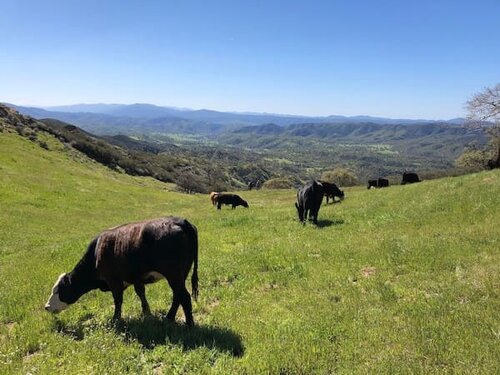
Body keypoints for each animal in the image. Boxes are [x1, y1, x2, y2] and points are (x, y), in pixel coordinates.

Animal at [44, 217, 197, 326]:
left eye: (58, 290)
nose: (46, 307)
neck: (96, 253)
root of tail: (180, 221)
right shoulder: (136, 278)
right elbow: (141, 293)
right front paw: (146, 313)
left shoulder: (114, 280)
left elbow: (118, 300)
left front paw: (116, 319)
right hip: (181, 274)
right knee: (178, 295)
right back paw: (169, 318)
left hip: (173, 274)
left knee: (184, 296)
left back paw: (189, 325)